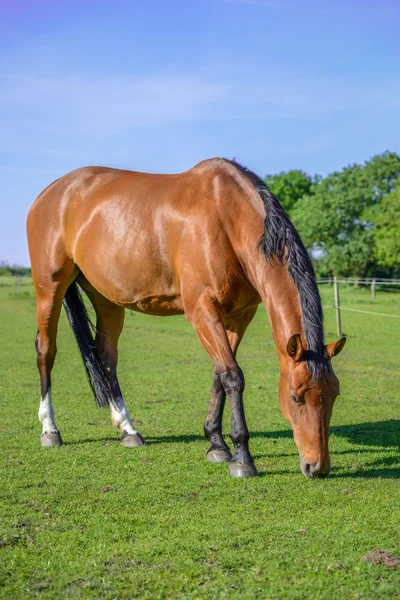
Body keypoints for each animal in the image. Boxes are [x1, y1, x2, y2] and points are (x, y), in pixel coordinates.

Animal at [26, 158, 346, 478]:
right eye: (295, 396)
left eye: (334, 395)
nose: (317, 466)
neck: (226, 218)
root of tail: (50, 193)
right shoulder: (202, 311)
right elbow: (233, 376)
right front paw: (242, 457)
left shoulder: (239, 316)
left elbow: (220, 375)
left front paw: (216, 443)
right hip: (50, 288)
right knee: (46, 351)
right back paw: (50, 430)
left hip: (107, 300)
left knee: (106, 357)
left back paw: (128, 430)